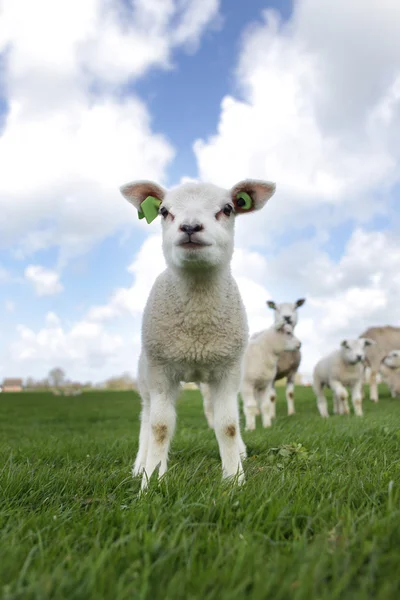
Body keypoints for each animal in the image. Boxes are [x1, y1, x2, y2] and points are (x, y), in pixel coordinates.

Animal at [120, 176, 276, 490]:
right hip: (146, 377)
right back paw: (139, 465)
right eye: (164, 211)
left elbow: (228, 425)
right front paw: (151, 481)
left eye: (228, 208)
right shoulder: (161, 372)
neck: (197, 327)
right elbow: (159, 427)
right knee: (146, 418)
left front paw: (234, 478)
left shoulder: (227, 371)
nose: (190, 227)